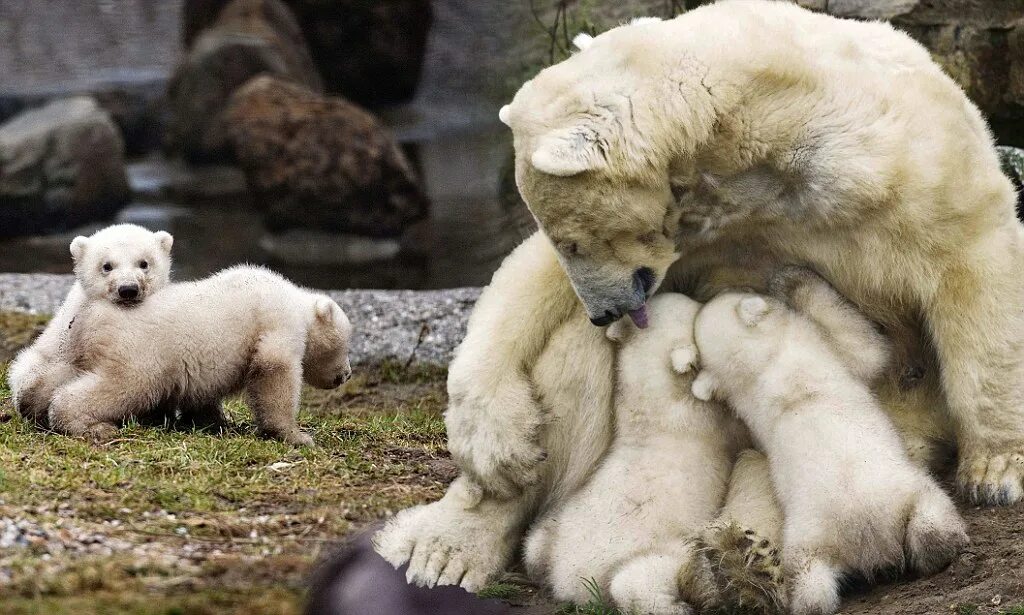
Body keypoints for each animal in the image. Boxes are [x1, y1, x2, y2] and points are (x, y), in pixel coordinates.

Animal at [376, 0, 1024, 597]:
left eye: (573, 239)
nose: (604, 311)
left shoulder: (894, 160)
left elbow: (976, 272)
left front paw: (998, 469)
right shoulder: (712, 227)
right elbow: (527, 281)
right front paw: (491, 438)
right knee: (566, 368)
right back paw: (444, 550)